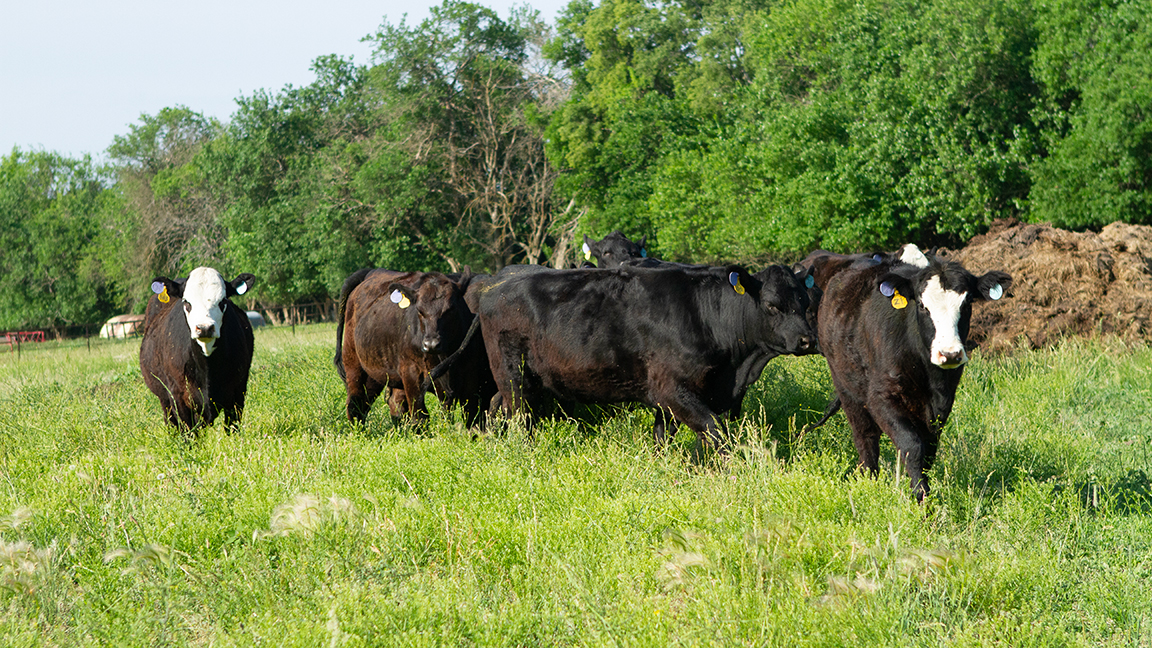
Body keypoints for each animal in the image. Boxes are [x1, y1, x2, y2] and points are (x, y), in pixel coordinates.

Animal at [139, 267, 256, 434]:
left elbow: (232, 428)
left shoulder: (238, 392)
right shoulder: (178, 397)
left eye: (223, 301)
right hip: (164, 400)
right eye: (186, 302)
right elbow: (188, 433)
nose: (205, 328)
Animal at [335, 268, 494, 427]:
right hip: (353, 364)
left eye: (451, 309)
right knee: (355, 405)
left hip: (377, 372)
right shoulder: (412, 374)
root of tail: (372, 271)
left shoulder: (470, 378)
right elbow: (420, 417)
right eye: (420, 311)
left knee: (388, 404)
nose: (431, 344)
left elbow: (472, 417)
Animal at [466, 263, 817, 449]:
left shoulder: (669, 400)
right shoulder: (673, 389)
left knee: (496, 407)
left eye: (805, 300)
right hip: (512, 374)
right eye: (772, 304)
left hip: (523, 380)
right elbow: (715, 430)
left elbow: (663, 439)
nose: (807, 340)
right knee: (519, 417)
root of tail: (494, 282)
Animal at [814, 246, 1010, 499]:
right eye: (922, 306)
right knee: (866, 439)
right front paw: (922, 497)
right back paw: (869, 481)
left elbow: (927, 450)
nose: (949, 354)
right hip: (847, 389)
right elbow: (912, 445)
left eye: (967, 304)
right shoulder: (880, 397)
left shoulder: (942, 403)